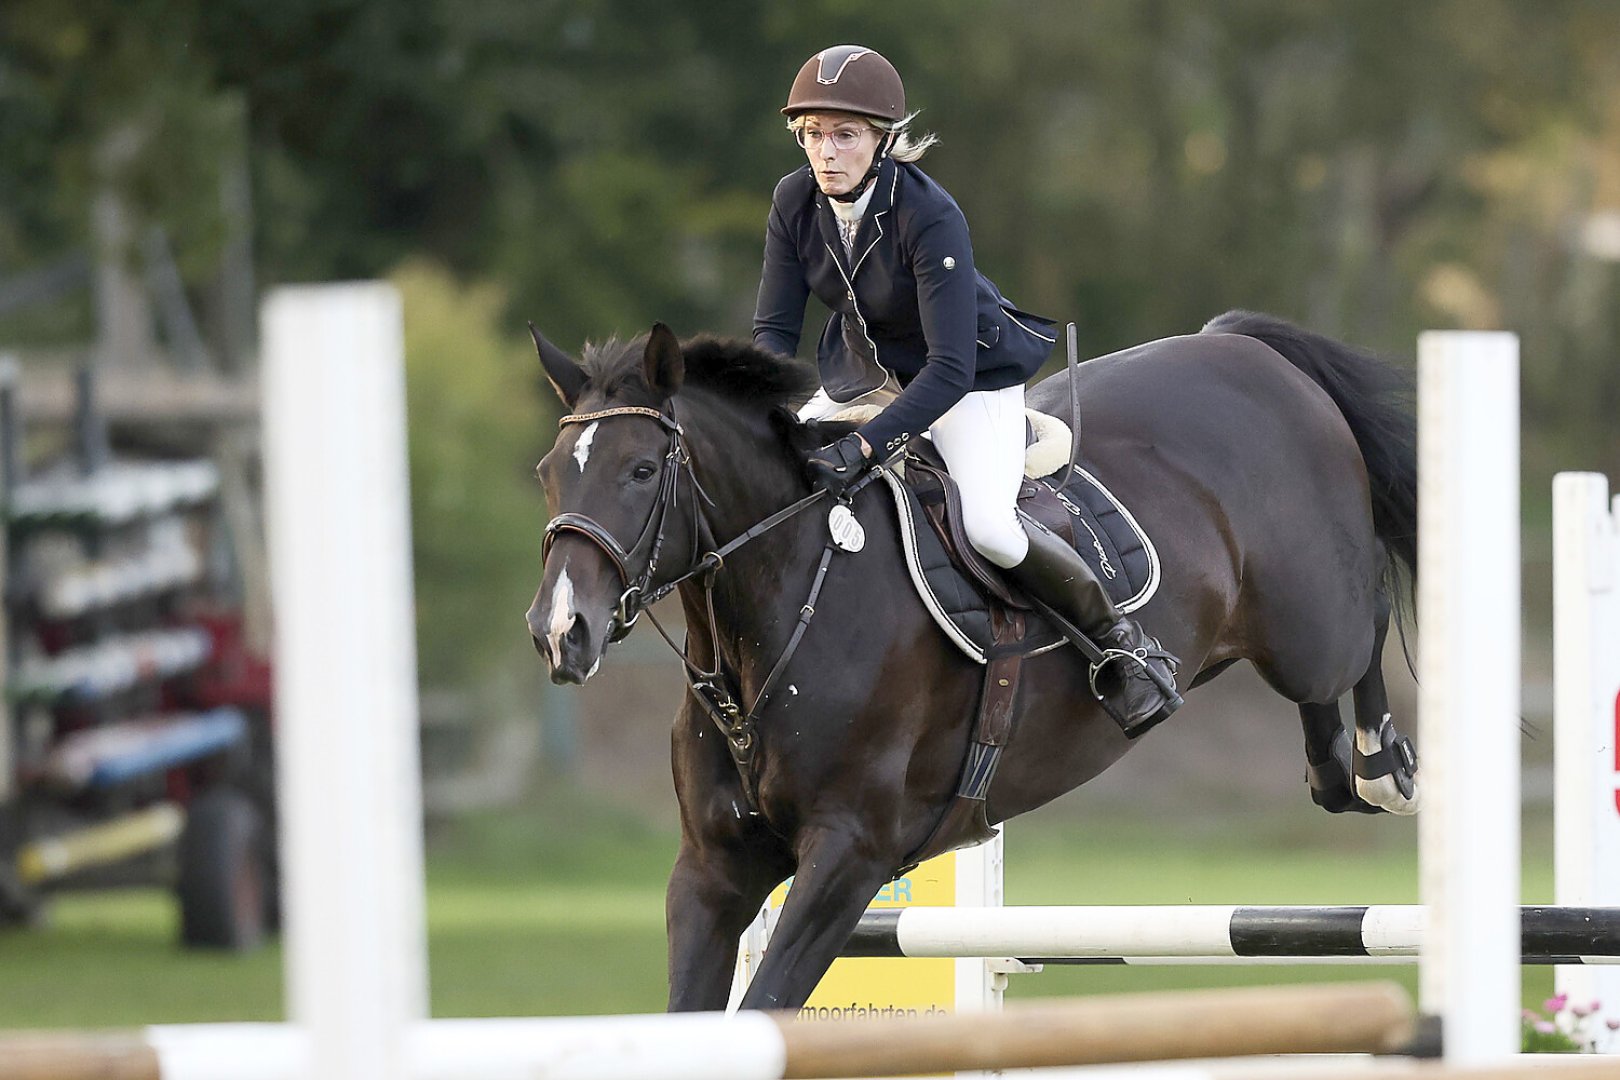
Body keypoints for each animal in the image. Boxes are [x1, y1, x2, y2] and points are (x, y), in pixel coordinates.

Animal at [528, 310, 1419, 1016]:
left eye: (643, 470)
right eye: (547, 475)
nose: (558, 630)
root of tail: (1243, 348)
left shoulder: (849, 856)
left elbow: (765, 1007)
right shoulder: (713, 869)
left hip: (1310, 625)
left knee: (1367, 614)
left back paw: (1381, 765)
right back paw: (1335, 769)